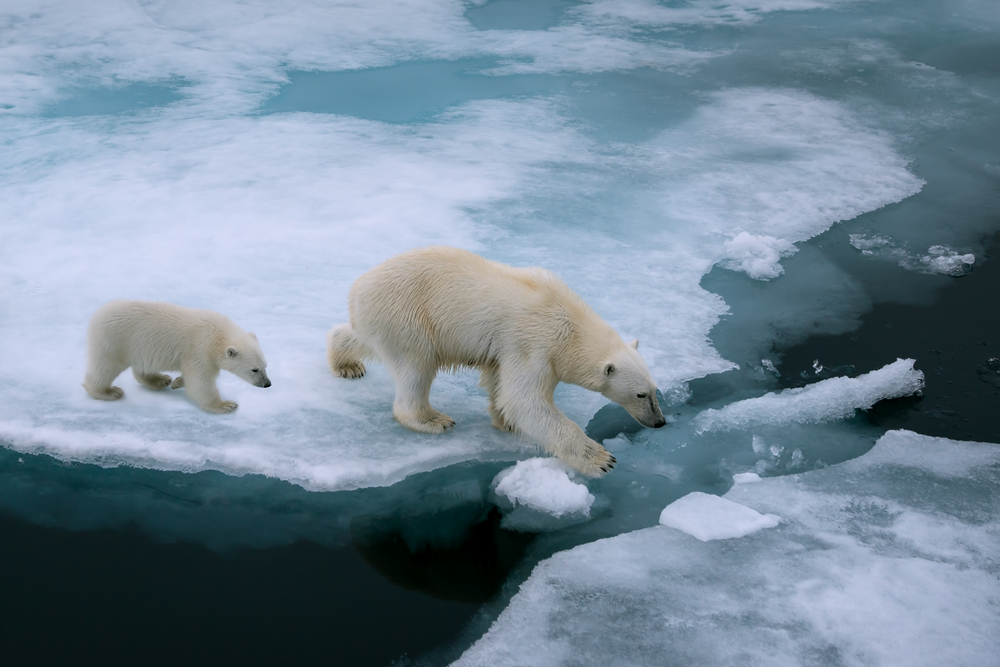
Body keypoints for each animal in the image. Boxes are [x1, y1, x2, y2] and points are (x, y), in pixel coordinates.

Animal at [326, 248, 664, 478]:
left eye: (655, 389)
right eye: (640, 394)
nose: (660, 422)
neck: (570, 323)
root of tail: (358, 289)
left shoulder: (510, 348)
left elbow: (500, 382)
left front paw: (505, 421)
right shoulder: (535, 343)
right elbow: (524, 399)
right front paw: (601, 459)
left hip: (381, 319)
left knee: (362, 338)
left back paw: (346, 363)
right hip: (408, 316)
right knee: (416, 366)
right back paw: (432, 419)